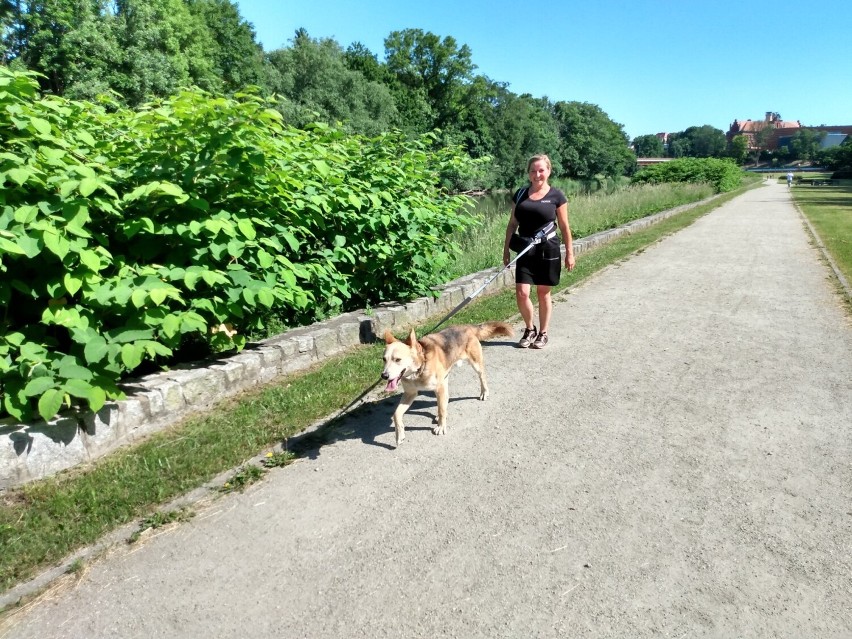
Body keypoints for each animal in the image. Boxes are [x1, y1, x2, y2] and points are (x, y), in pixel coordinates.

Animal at [382, 322, 512, 448]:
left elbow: (441, 410)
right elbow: (396, 414)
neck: (420, 367)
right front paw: (399, 435)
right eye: (384, 359)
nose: (384, 376)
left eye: (397, 359)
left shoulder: (439, 389)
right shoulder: (410, 393)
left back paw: (484, 392)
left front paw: (441, 427)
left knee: (482, 377)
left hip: (475, 365)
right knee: (446, 398)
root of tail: (466, 327)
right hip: (445, 378)